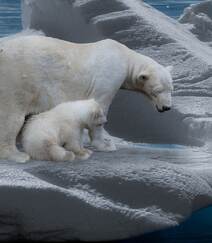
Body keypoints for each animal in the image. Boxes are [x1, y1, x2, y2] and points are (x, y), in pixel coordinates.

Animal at [0, 35, 173, 162]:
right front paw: (105, 144)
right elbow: (100, 106)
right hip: (16, 80)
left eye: (171, 89)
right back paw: (17, 155)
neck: (125, 57)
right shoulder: (109, 77)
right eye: (157, 91)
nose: (167, 108)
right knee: (12, 117)